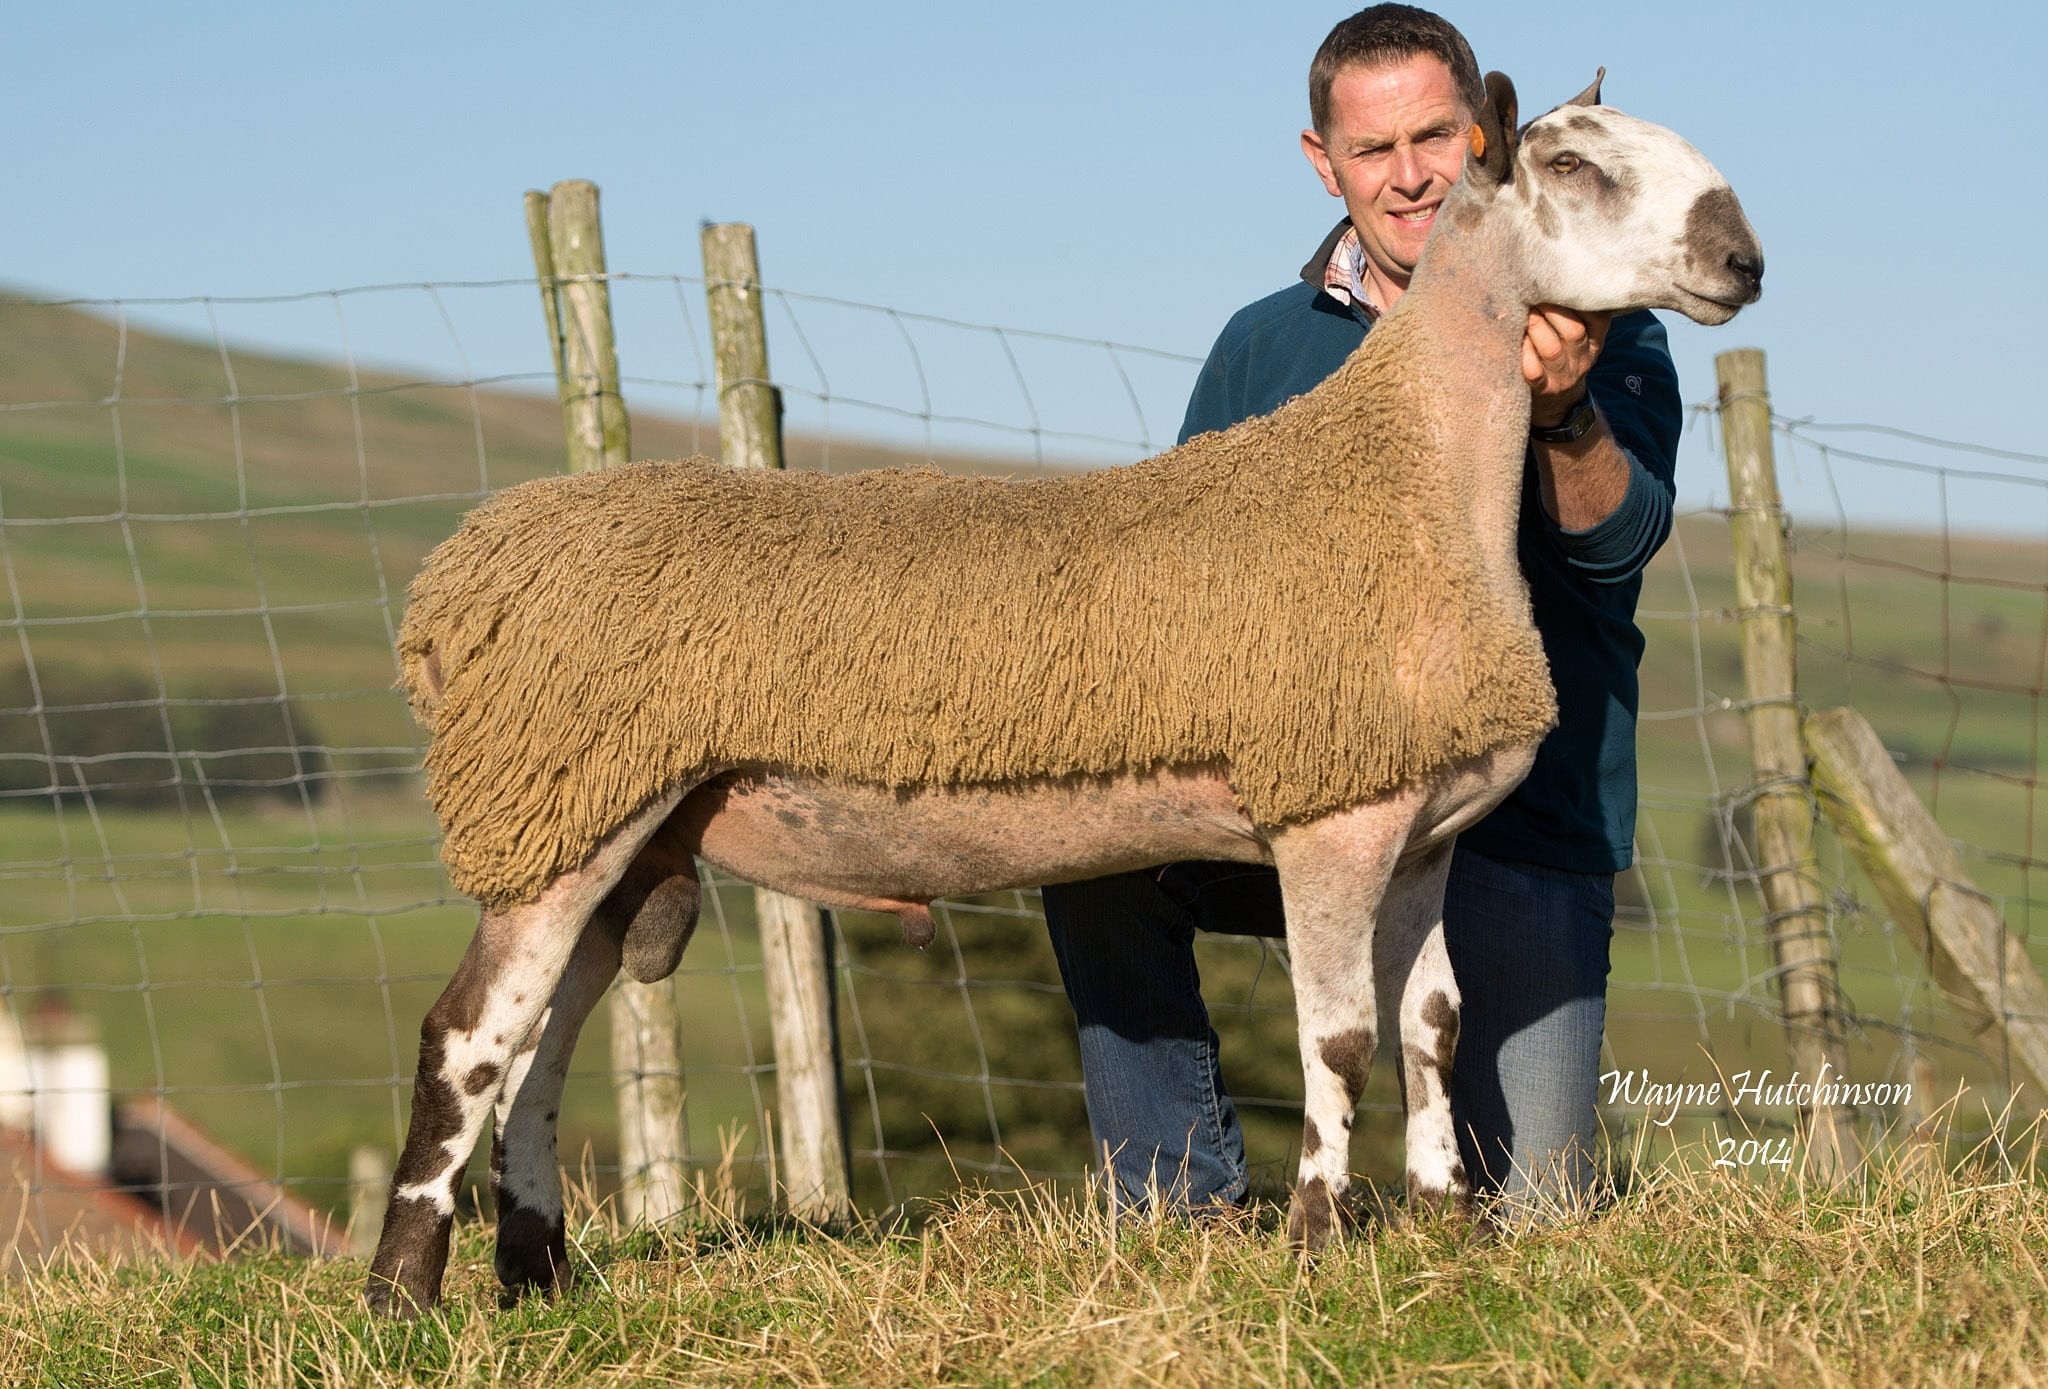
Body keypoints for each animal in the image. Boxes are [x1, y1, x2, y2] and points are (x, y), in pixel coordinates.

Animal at [364, 73, 1761, 1319]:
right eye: (1570, 165)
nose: (1742, 261)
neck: (1408, 477)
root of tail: (456, 582)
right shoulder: (1326, 818)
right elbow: (1340, 1043)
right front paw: (1317, 1248)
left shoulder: (1419, 830)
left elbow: (1433, 1030)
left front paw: (1444, 1232)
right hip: (557, 802)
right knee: (464, 1041)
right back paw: (402, 1295)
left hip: (615, 828)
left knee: (538, 1050)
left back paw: (536, 1274)